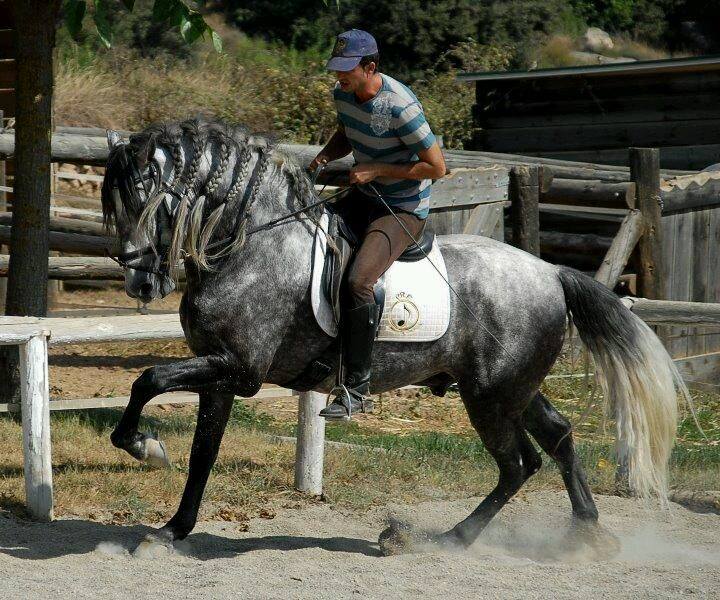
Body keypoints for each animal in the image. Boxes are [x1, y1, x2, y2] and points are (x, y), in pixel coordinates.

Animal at [102, 117, 688, 556]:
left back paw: (440, 540)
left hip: (489, 397)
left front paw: (143, 447)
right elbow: (202, 450)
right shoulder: (219, 372)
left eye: (148, 200)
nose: (139, 280)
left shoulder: (239, 370)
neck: (250, 246)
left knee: (518, 464)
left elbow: (147, 378)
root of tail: (551, 273)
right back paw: (585, 533)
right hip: (512, 389)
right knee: (559, 438)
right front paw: (171, 530)